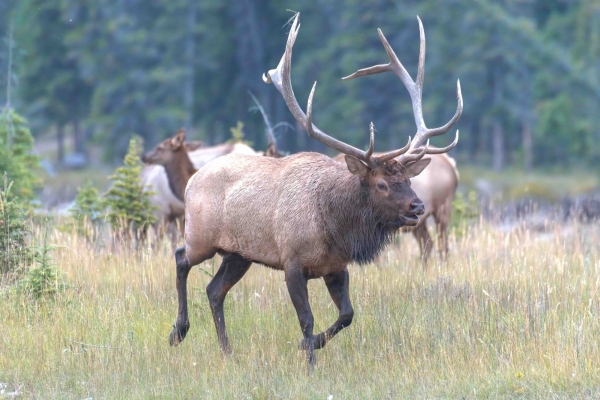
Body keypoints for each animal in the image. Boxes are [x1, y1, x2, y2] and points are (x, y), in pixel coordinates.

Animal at [169, 12, 464, 368]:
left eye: (407, 180)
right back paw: (178, 330)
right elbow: (306, 318)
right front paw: (309, 363)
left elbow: (348, 315)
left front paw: (308, 346)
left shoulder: (336, 267)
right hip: (202, 236)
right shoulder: (293, 263)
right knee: (181, 258)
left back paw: (227, 351)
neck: (335, 226)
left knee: (215, 290)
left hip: (240, 254)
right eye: (381, 184)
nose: (417, 207)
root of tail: (192, 180)